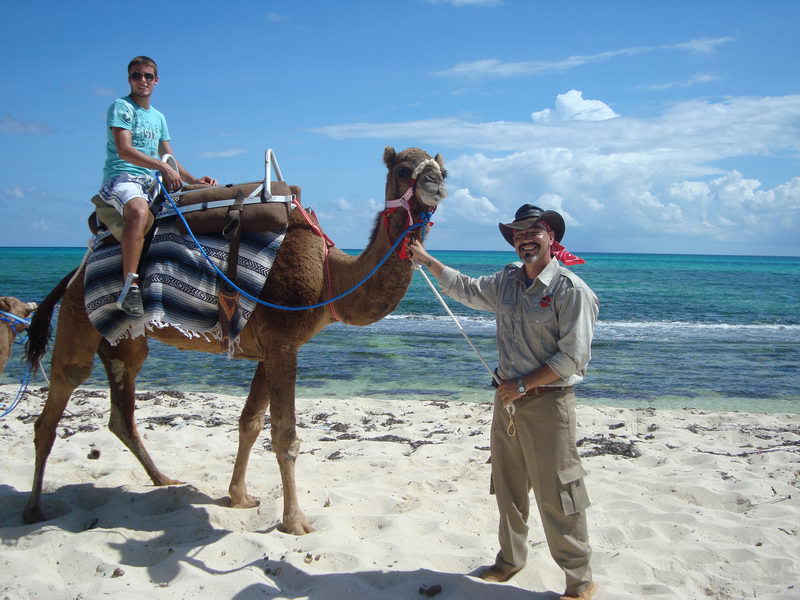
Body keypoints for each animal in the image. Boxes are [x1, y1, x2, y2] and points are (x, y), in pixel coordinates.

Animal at [23, 147, 447, 534]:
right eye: (404, 169)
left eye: (443, 170)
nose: (436, 184)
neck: (330, 277)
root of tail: (75, 272)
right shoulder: (282, 343)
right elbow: (285, 435)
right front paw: (295, 521)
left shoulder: (270, 348)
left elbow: (250, 423)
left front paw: (239, 496)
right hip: (79, 317)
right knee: (55, 405)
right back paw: (34, 510)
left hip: (125, 342)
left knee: (122, 414)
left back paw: (164, 480)